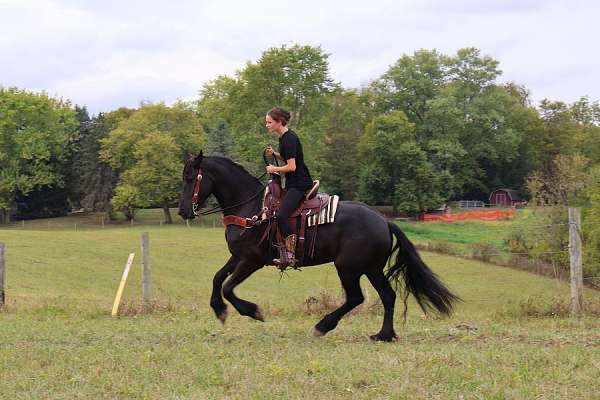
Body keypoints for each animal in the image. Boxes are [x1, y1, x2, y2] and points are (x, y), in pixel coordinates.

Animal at [178, 152, 460, 340]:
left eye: (191, 177)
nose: (182, 211)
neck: (251, 208)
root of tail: (383, 221)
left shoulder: (252, 260)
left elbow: (228, 287)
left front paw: (253, 311)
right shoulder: (238, 256)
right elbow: (217, 278)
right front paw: (219, 310)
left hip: (348, 267)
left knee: (356, 297)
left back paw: (323, 326)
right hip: (371, 268)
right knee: (387, 296)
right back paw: (384, 335)